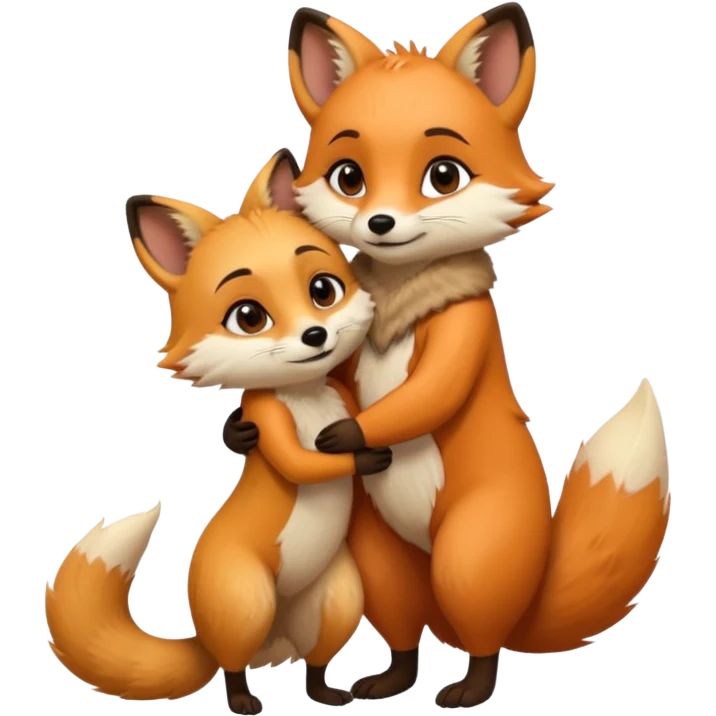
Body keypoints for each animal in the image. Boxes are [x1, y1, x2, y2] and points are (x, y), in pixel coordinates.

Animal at [44, 149, 396, 714]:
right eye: (248, 316)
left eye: (322, 290)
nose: (315, 335)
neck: (306, 397)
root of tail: (269, 639)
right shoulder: (267, 416)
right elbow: (302, 462)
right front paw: (362, 456)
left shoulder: (345, 394)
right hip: (244, 600)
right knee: (231, 665)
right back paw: (242, 699)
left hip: (337, 599)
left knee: (314, 662)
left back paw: (323, 691)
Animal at [226, 3, 673, 709]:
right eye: (349, 176)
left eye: (443, 175)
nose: (380, 223)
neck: (402, 291)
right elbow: (342, 381)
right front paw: (244, 432)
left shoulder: (465, 327)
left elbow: (431, 392)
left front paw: (345, 437)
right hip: (383, 557)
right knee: (405, 627)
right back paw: (391, 679)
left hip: (473, 553)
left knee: (485, 639)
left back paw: (469, 688)